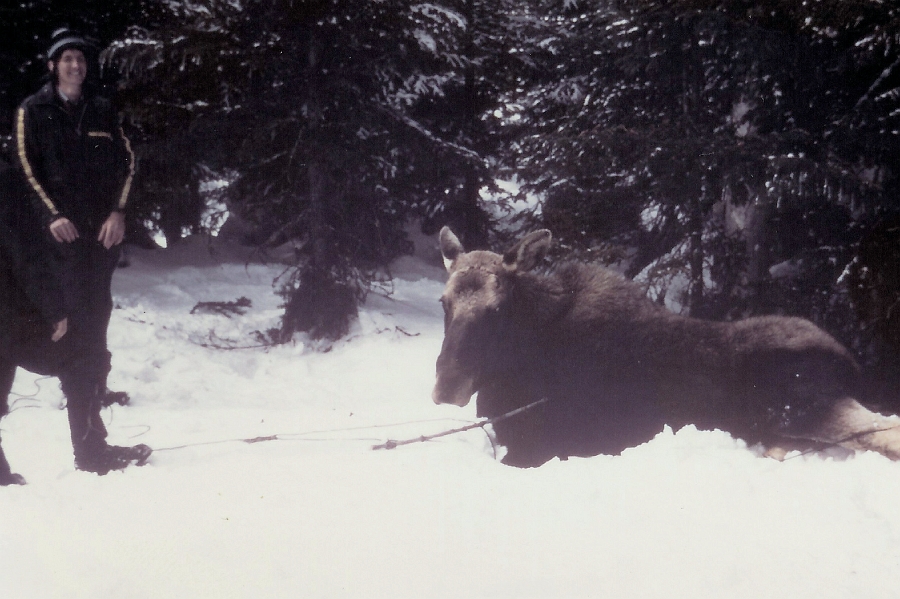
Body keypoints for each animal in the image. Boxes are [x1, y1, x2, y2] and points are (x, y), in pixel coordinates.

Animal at [430, 229, 900, 468]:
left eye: (497, 309)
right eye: (444, 302)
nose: (447, 386)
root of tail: (850, 363)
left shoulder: (540, 448)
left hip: (797, 408)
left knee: (881, 434)